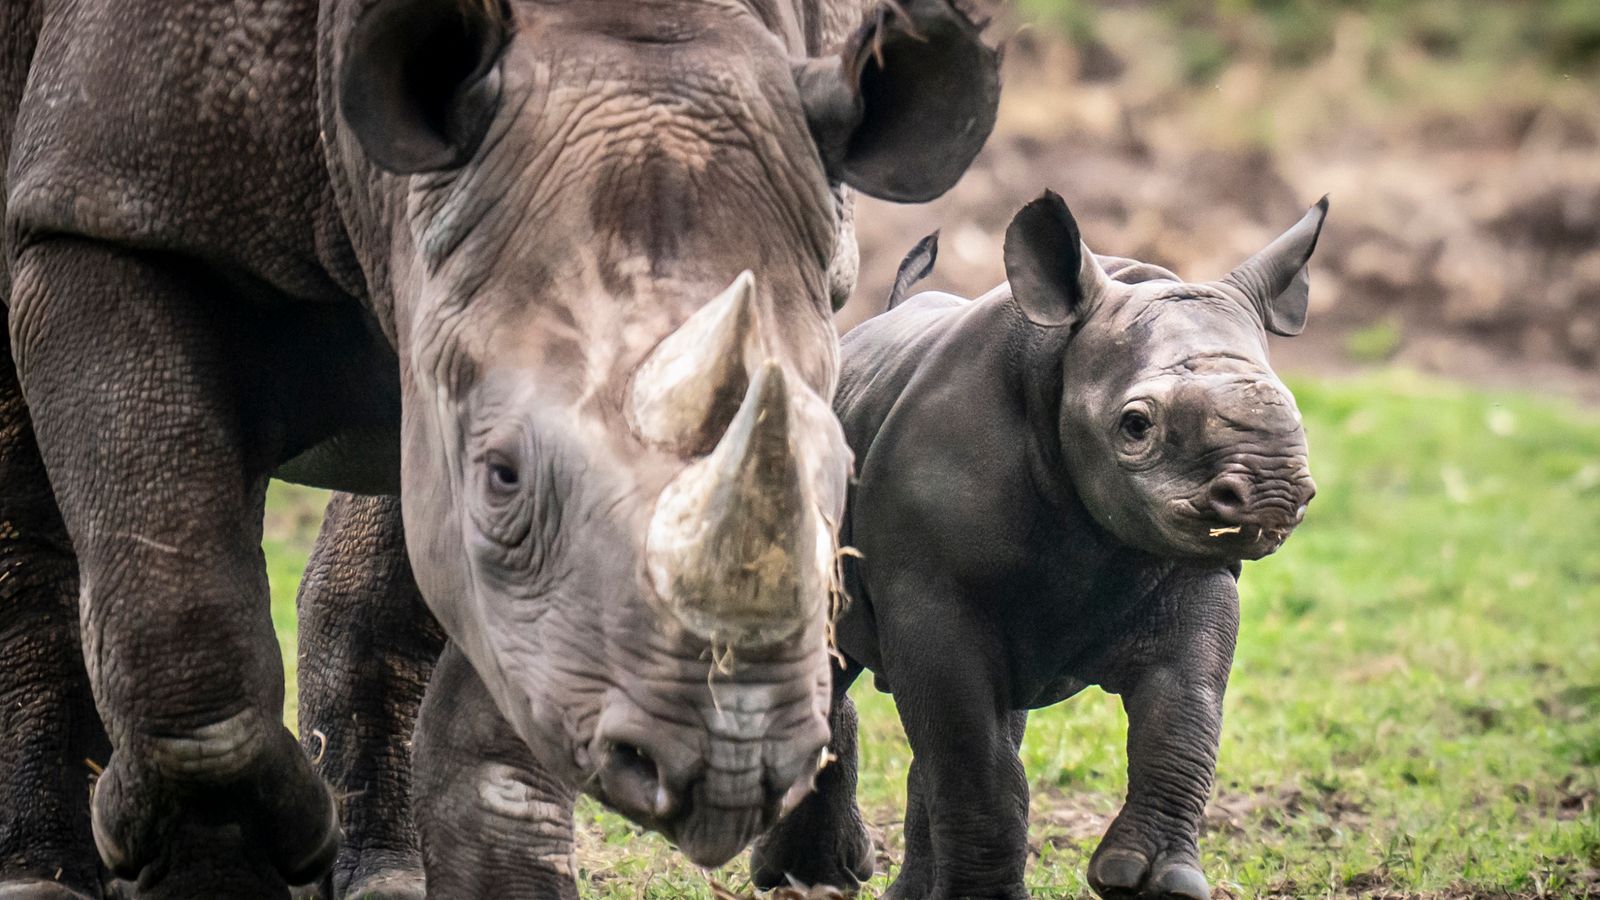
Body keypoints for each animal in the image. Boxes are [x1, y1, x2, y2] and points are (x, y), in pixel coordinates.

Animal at [0, 1, 992, 890]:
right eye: (503, 473)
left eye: (842, 474)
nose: (724, 766)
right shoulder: (101, 203)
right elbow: (176, 587)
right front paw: (214, 873)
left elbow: (510, 652)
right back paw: (47, 878)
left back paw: (381, 877)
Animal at [748, 192, 1324, 890]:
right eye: (1136, 426)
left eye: (1293, 411)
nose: (1272, 490)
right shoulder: (933, 594)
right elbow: (974, 764)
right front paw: (986, 897)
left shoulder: (1193, 568)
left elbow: (1182, 717)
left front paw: (1149, 878)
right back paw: (809, 875)